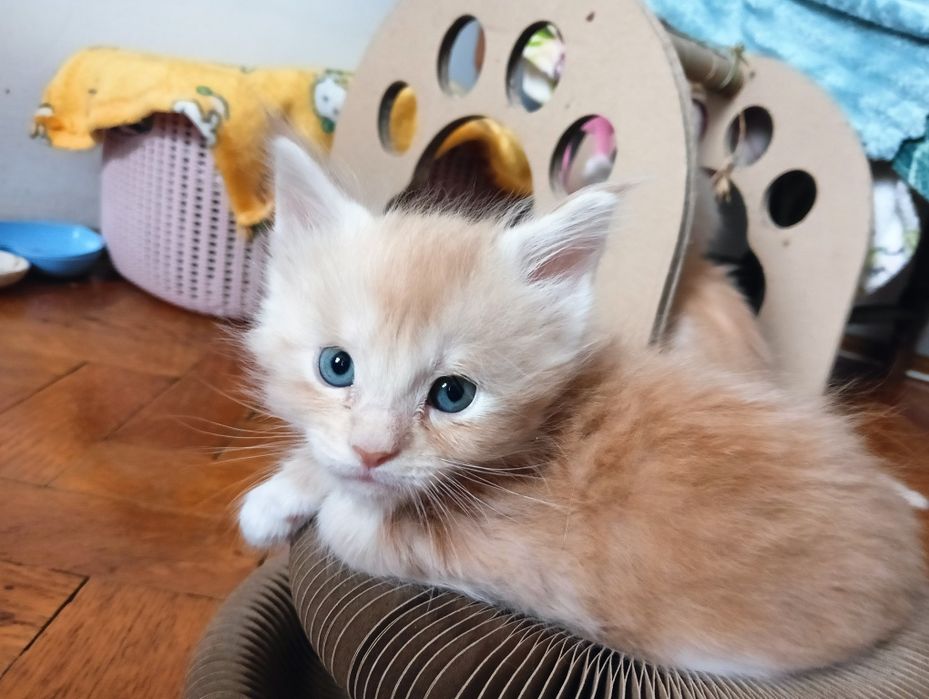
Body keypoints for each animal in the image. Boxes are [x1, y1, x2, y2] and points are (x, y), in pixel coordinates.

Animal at [238, 136, 926, 678]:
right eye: (337, 366)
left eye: (453, 395)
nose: (373, 451)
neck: (543, 430)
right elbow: (330, 465)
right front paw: (278, 498)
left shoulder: (519, 560)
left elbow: (350, 524)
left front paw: (325, 502)